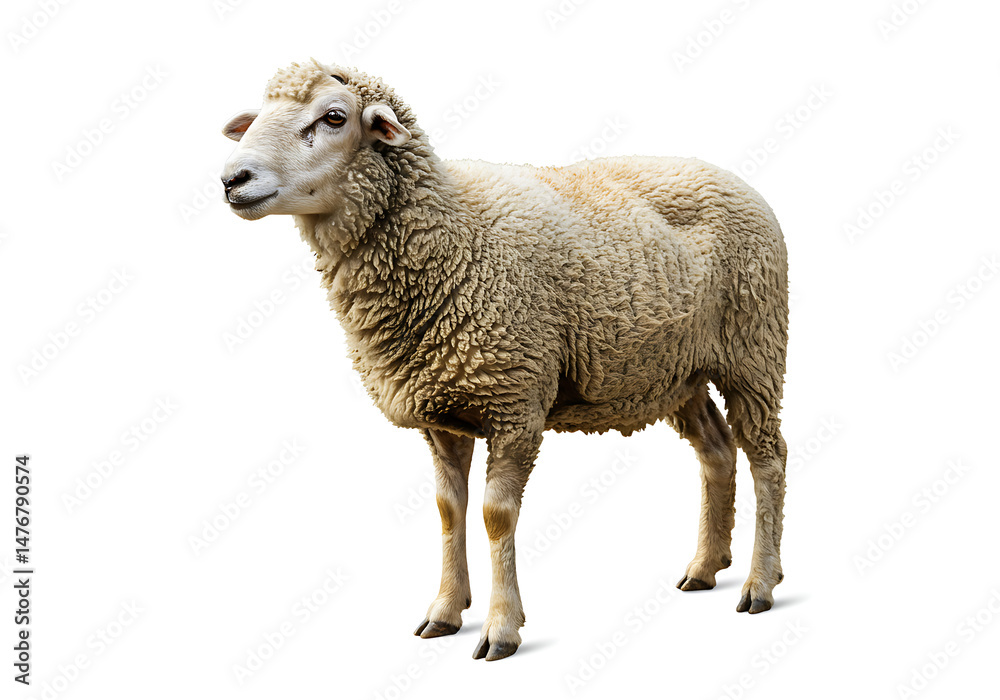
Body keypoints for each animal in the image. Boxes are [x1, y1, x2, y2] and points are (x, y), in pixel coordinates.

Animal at [221, 60, 789, 662]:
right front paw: (445, 612)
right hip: (676, 370)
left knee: (767, 457)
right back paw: (705, 567)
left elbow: (496, 516)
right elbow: (448, 510)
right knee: (717, 450)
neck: (450, 238)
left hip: (753, 350)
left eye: (334, 116)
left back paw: (760, 583)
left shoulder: (515, 405)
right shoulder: (442, 414)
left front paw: (501, 628)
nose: (232, 179)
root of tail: (729, 177)